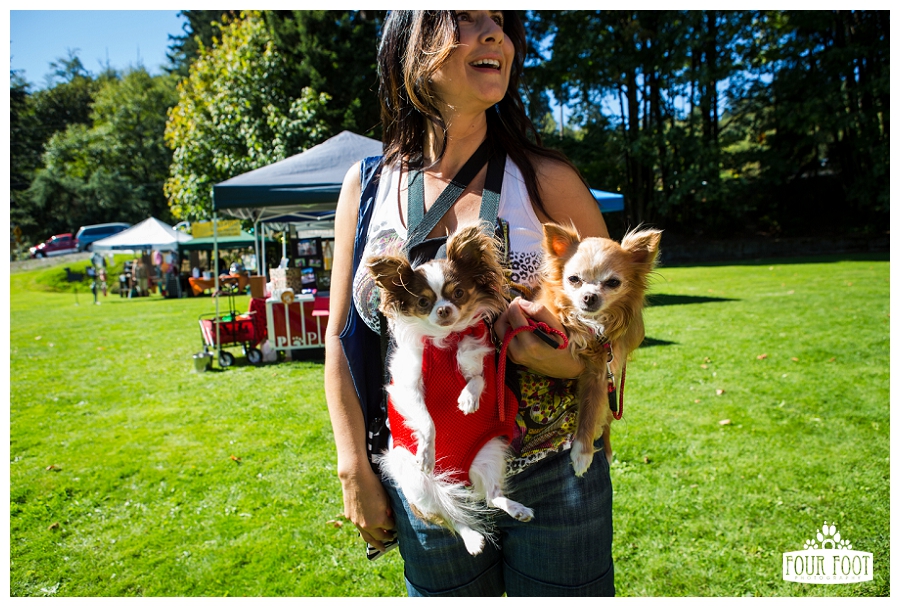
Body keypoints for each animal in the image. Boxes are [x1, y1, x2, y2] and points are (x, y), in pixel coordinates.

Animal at [367, 223, 533, 555]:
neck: (446, 342)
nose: (444, 310)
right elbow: (427, 421)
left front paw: (468, 400)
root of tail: (457, 477)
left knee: (492, 495)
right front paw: (427, 453)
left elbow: (478, 380)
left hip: (489, 453)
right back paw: (472, 539)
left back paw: (517, 509)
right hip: (417, 484)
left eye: (458, 293)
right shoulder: (408, 388)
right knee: (449, 518)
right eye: (422, 302)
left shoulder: (477, 362)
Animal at [534, 223, 661, 476]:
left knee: (606, 422)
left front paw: (582, 453)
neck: (591, 323)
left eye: (613, 282)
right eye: (574, 279)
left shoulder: (600, 374)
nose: (589, 296)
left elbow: (590, 413)